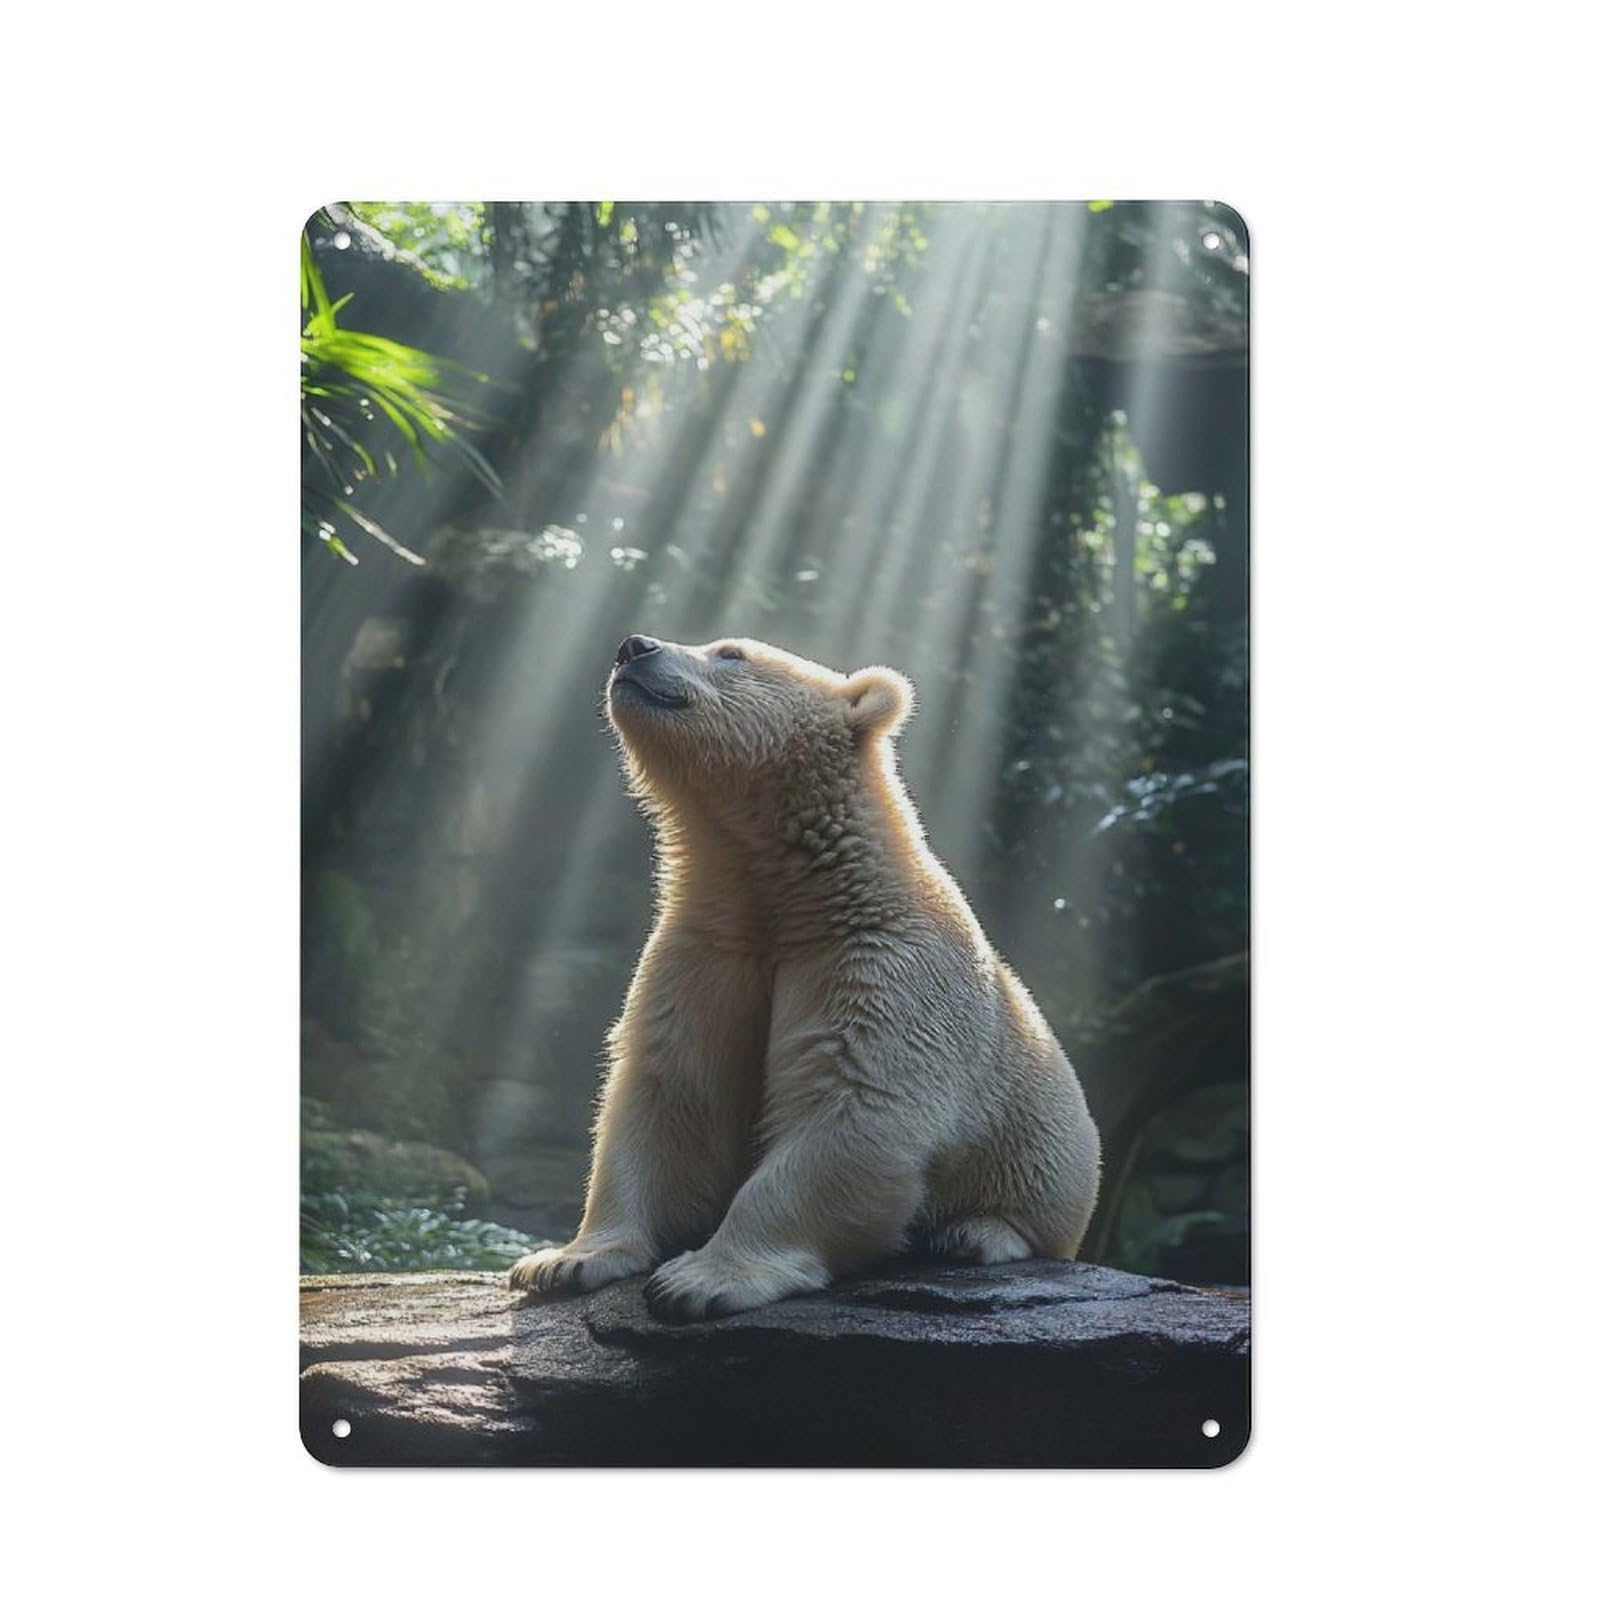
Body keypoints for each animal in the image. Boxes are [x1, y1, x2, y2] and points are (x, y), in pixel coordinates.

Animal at [508, 633, 1101, 1320]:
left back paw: (972, 1235)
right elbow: (668, 1091)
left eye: (731, 653)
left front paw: (700, 1279)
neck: (799, 892)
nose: (634, 646)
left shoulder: (885, 964)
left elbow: (854, 1105)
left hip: (1048, 1146)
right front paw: (562, 1261)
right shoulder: (707, 953)